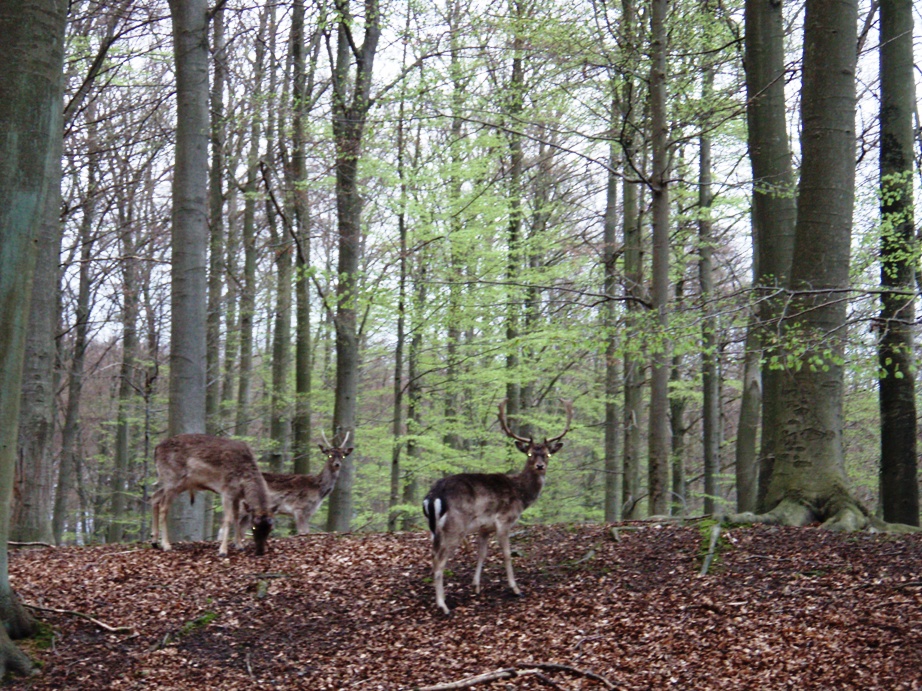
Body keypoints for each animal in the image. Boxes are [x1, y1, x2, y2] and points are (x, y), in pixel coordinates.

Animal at [422, 400, 568, 616]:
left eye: (547, 454)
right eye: (530, 454)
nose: (540, 466)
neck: (521, 495)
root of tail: (433, 496)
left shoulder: (485, 527)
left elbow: (482, 554)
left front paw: (476, 587)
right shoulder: (504, 520)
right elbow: (507, 554)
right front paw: (516, 589)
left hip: (435, 529)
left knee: (432, 555)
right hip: (455, 526)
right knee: (439, 560)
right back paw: (443, 605)